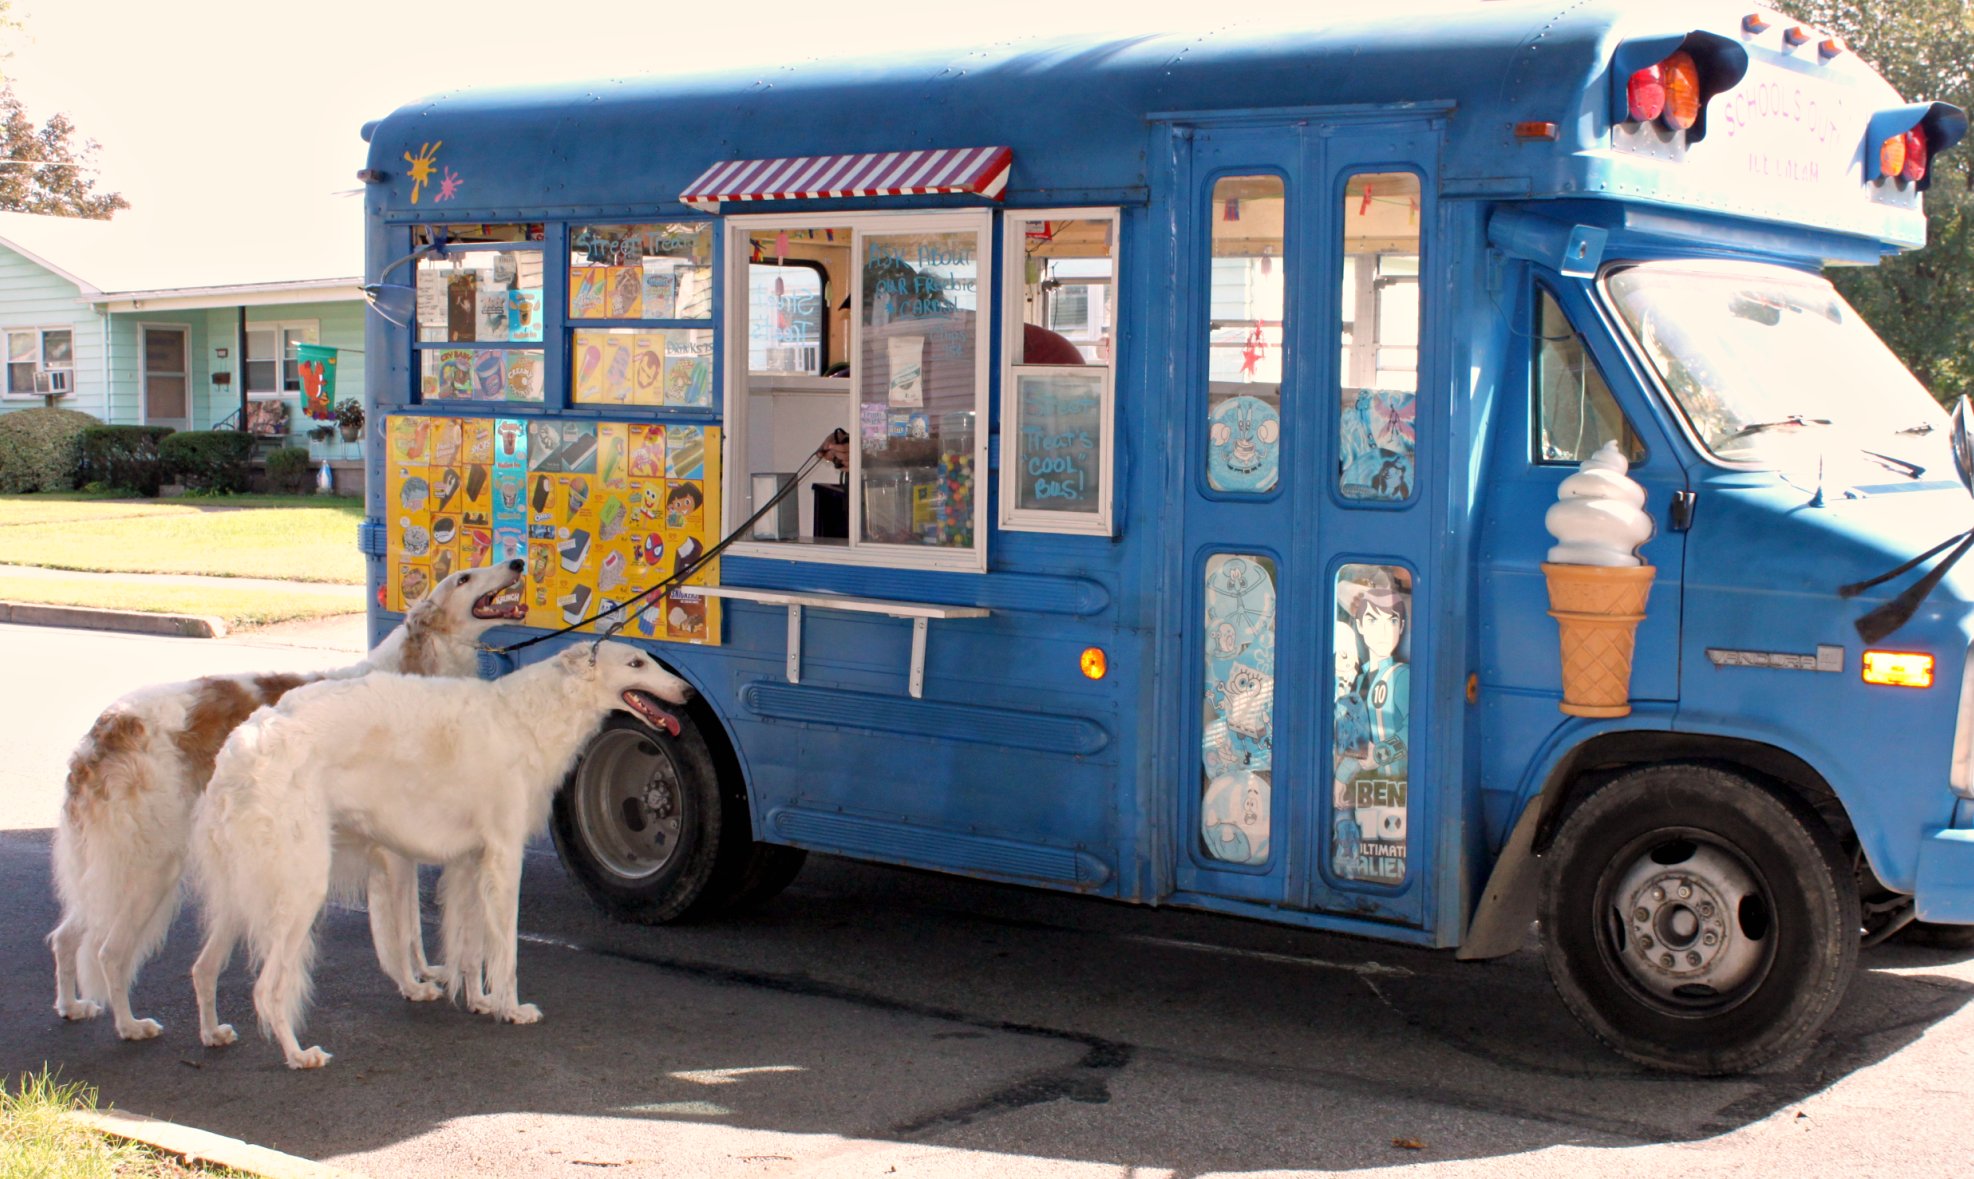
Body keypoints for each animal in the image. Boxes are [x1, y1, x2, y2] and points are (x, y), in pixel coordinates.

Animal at [53, 560, 529, 1042]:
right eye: (464, 577)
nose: (517, 562)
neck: (416, 664)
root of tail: (106, 729)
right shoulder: (394, 852)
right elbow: (404, 928)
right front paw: (416, 984)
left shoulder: (397, 850)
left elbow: (404, 929)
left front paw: (422, 976)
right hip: (149, 864)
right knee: (109, 951)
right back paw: (130, 1025)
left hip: (114, 866)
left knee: (66, 936)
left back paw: (72, 1005)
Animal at [186, 639, 694, 1074]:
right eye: (636, 663)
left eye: (650, 659)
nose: (688, 693)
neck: (526, 718)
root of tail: (240, 746)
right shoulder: (504, 855)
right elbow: (504, 950)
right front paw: (512, 1009)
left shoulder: (470, 861)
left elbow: (468, 948)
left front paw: (479, 1001)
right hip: (300, 885)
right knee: (268, 988)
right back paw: (298, 1053)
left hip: (242, 889)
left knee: (202, 967)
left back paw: (212, 1033)